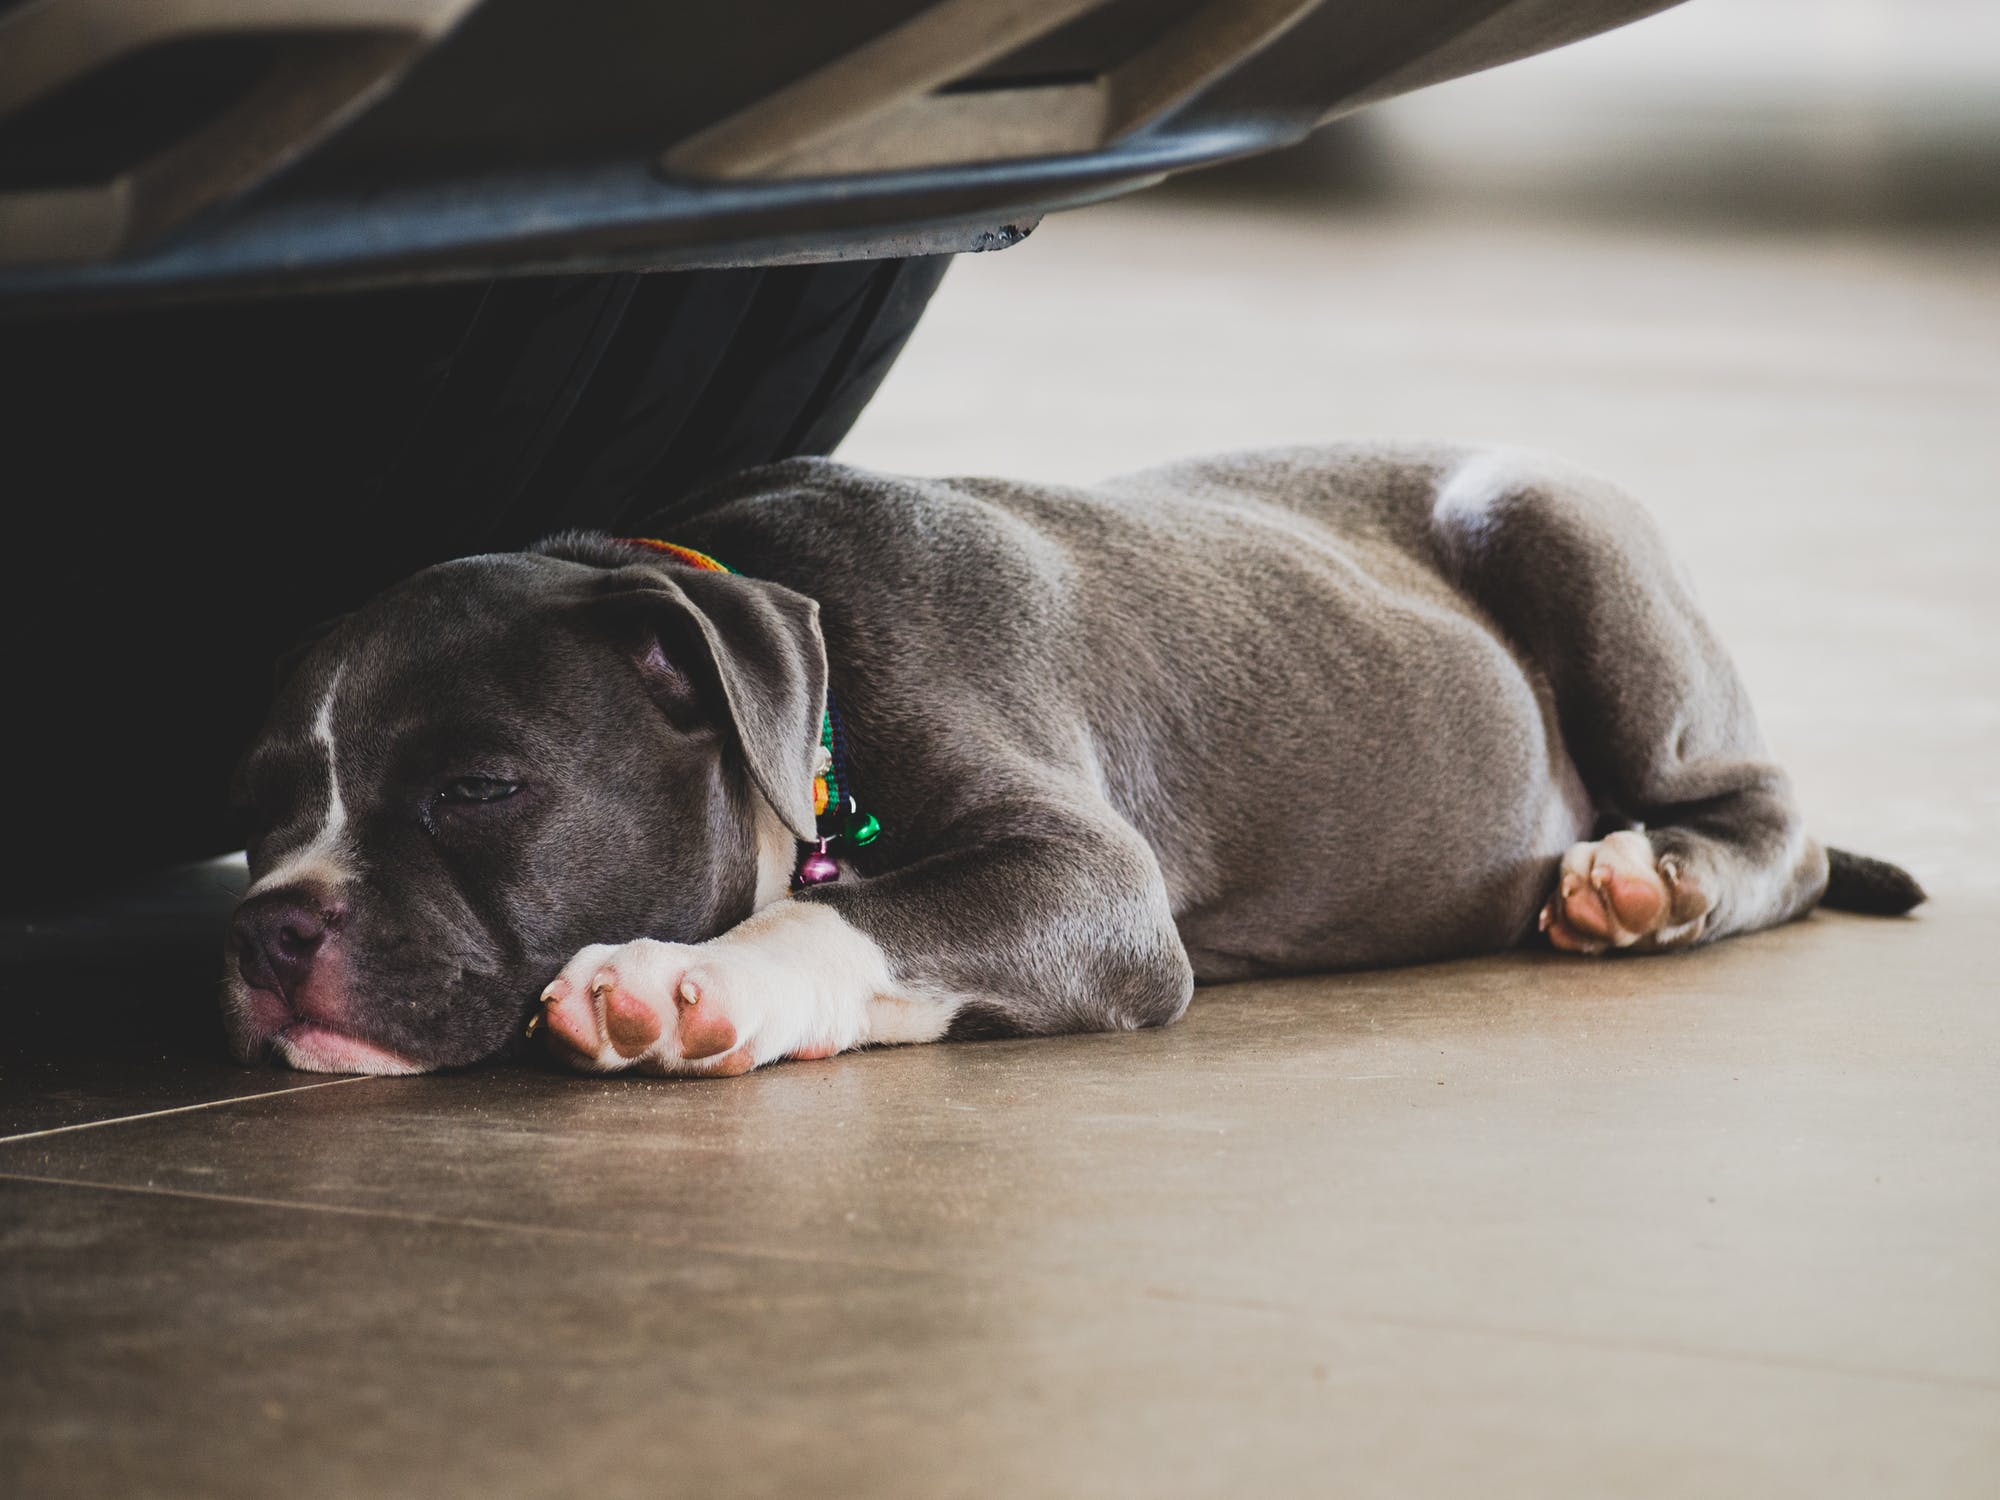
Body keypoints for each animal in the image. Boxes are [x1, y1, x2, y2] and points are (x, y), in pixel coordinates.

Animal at [227, 446, 1928, 1080]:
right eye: (260, 804)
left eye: (479, 789)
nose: (267, 929)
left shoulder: (1089, 879)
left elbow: (849, 913)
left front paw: (688, 977)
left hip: (1555, 524)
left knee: (1773, 819)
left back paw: (1645, 881)